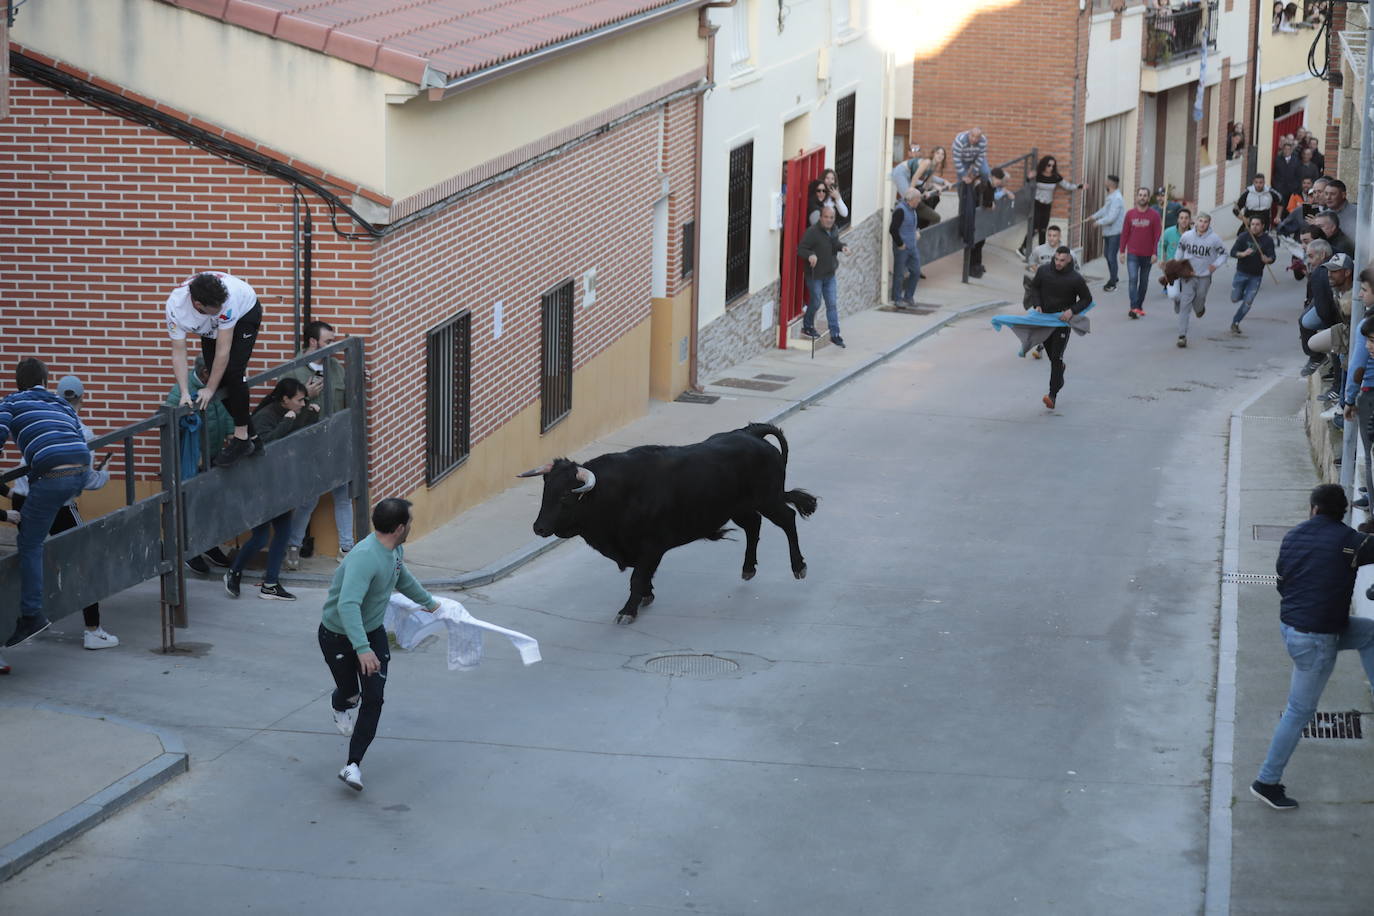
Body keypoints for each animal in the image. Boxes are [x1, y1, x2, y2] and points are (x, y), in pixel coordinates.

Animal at [516, 425, 813, 626]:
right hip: (738, 508)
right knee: (754, 524)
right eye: (546, 493)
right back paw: (748, 569)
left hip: (768, 499)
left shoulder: (651, 545)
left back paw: (798, 566)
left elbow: (637, 576)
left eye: (565, 497)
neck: (616, 493)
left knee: (787, 519)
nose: (538, 528)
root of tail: (751, 433)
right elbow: (642, 574)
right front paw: (646, 595)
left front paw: (628, 610)